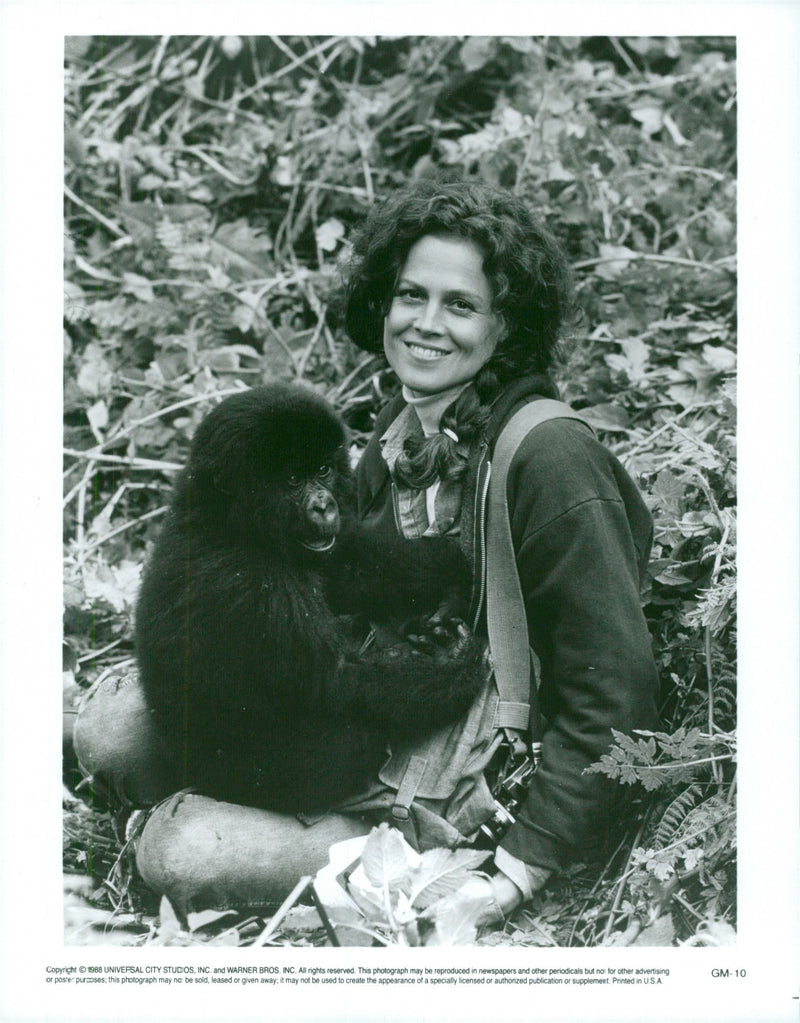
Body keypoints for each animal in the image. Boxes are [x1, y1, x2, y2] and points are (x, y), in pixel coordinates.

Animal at [136, 380, 489, 810]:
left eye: (322, 470)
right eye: (291, 480)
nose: (323, 505)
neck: (230, 521)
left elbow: (351, 571)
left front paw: (448, 572)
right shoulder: (254, 585)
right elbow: (337, 680)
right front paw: (454, 664)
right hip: (246, 782)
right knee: (355, 733)